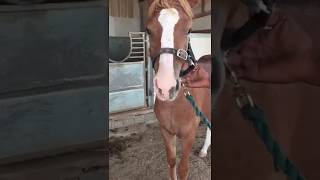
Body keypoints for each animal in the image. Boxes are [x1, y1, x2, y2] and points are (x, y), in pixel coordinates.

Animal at [146, 0, 211, 179]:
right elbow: (171, 161)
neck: (175, 105)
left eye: (189, 30)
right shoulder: (166, 132)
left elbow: (183, 168)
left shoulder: (189, 135)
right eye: (148, 30)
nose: (165, 87)